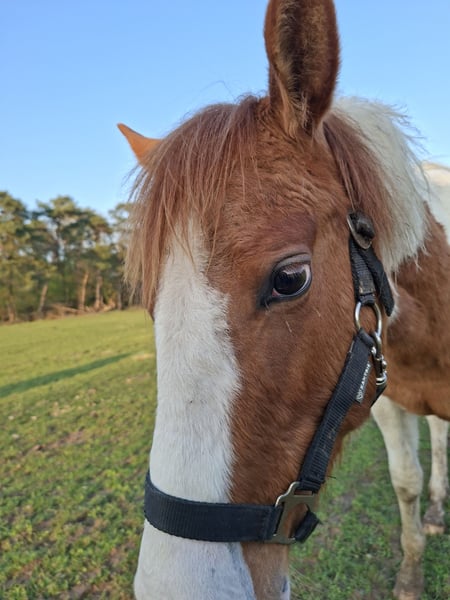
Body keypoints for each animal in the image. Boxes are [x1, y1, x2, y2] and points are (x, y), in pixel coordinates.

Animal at [119, 1, 450, 598]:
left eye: (290, 278)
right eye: (151, 303)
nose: (175, 586)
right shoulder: (387, 399)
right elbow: (406, 482)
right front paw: (412, 570)